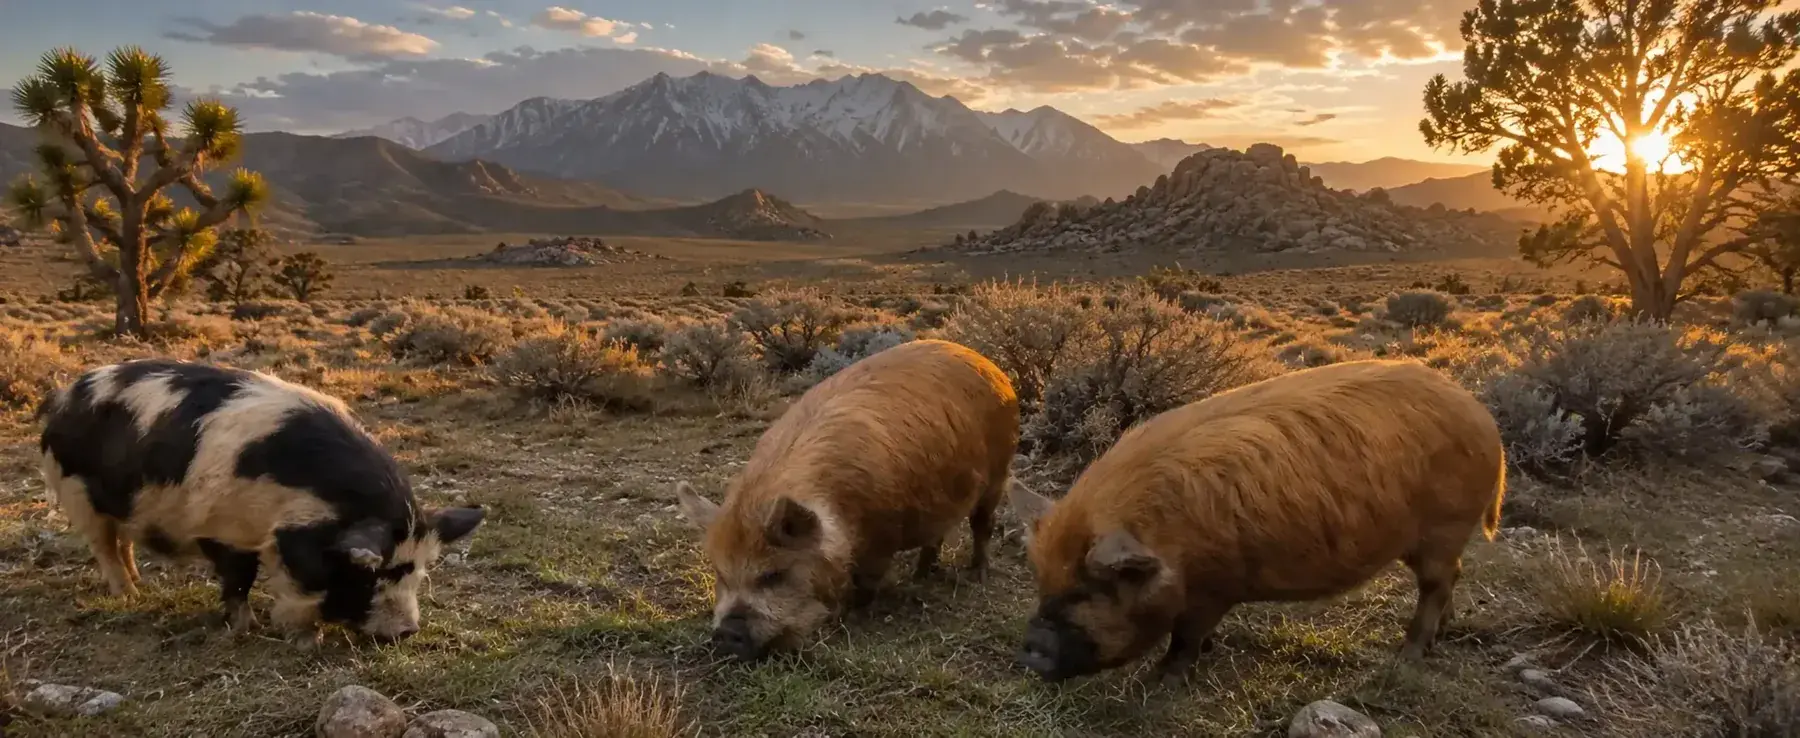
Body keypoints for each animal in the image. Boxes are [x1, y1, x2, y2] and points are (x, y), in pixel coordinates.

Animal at [38, 359, 485, 642]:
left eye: (419, 572)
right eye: (368, 574)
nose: (406, 632)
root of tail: (62, 397)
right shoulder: (224, 528)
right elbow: (239, 580)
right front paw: (249, 628)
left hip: (118, 504)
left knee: (124, 542)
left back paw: (140, 584)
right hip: (76, 492)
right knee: (104, 546)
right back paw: (129, 595)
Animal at [675, 338, 1020, 660]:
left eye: (773, 575)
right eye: (721, 575)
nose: (724, 634)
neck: (839, 512)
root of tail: (990, 365)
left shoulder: (884, 532)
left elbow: (866, 579)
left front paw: (848, 615)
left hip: (999, 471)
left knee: (983, 524)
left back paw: (977, 574)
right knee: (936, 534)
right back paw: (920, 575)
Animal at [1008, 359, 1505, 684]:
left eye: (1088, 591)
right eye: (1043, 584)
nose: (1030, 648)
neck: (1169, 540)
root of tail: (1485, 419)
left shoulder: (1214, 587)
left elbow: (1186, 636)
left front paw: (1160, 679)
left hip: (1445, 526)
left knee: (1439, 582)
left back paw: (1408, 655)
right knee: (1452, 577)